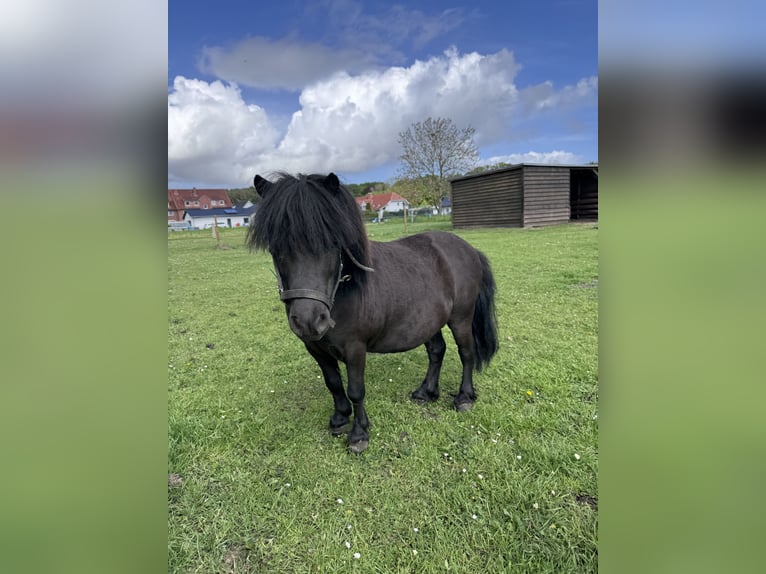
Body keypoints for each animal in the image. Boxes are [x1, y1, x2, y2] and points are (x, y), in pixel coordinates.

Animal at [247, 172, 498, 453]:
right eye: (276, 246)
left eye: (332, 244)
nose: (309, 321)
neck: (342, 293)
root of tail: (468, 249)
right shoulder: (315, 348)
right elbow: (333, 383)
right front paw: (339, 419)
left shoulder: (355, 349)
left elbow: (356, 390)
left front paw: (359, 434)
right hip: (428, 321)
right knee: (436, 351)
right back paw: (426, 392)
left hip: (461, 318)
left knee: (467, 353)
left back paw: (464, 397)